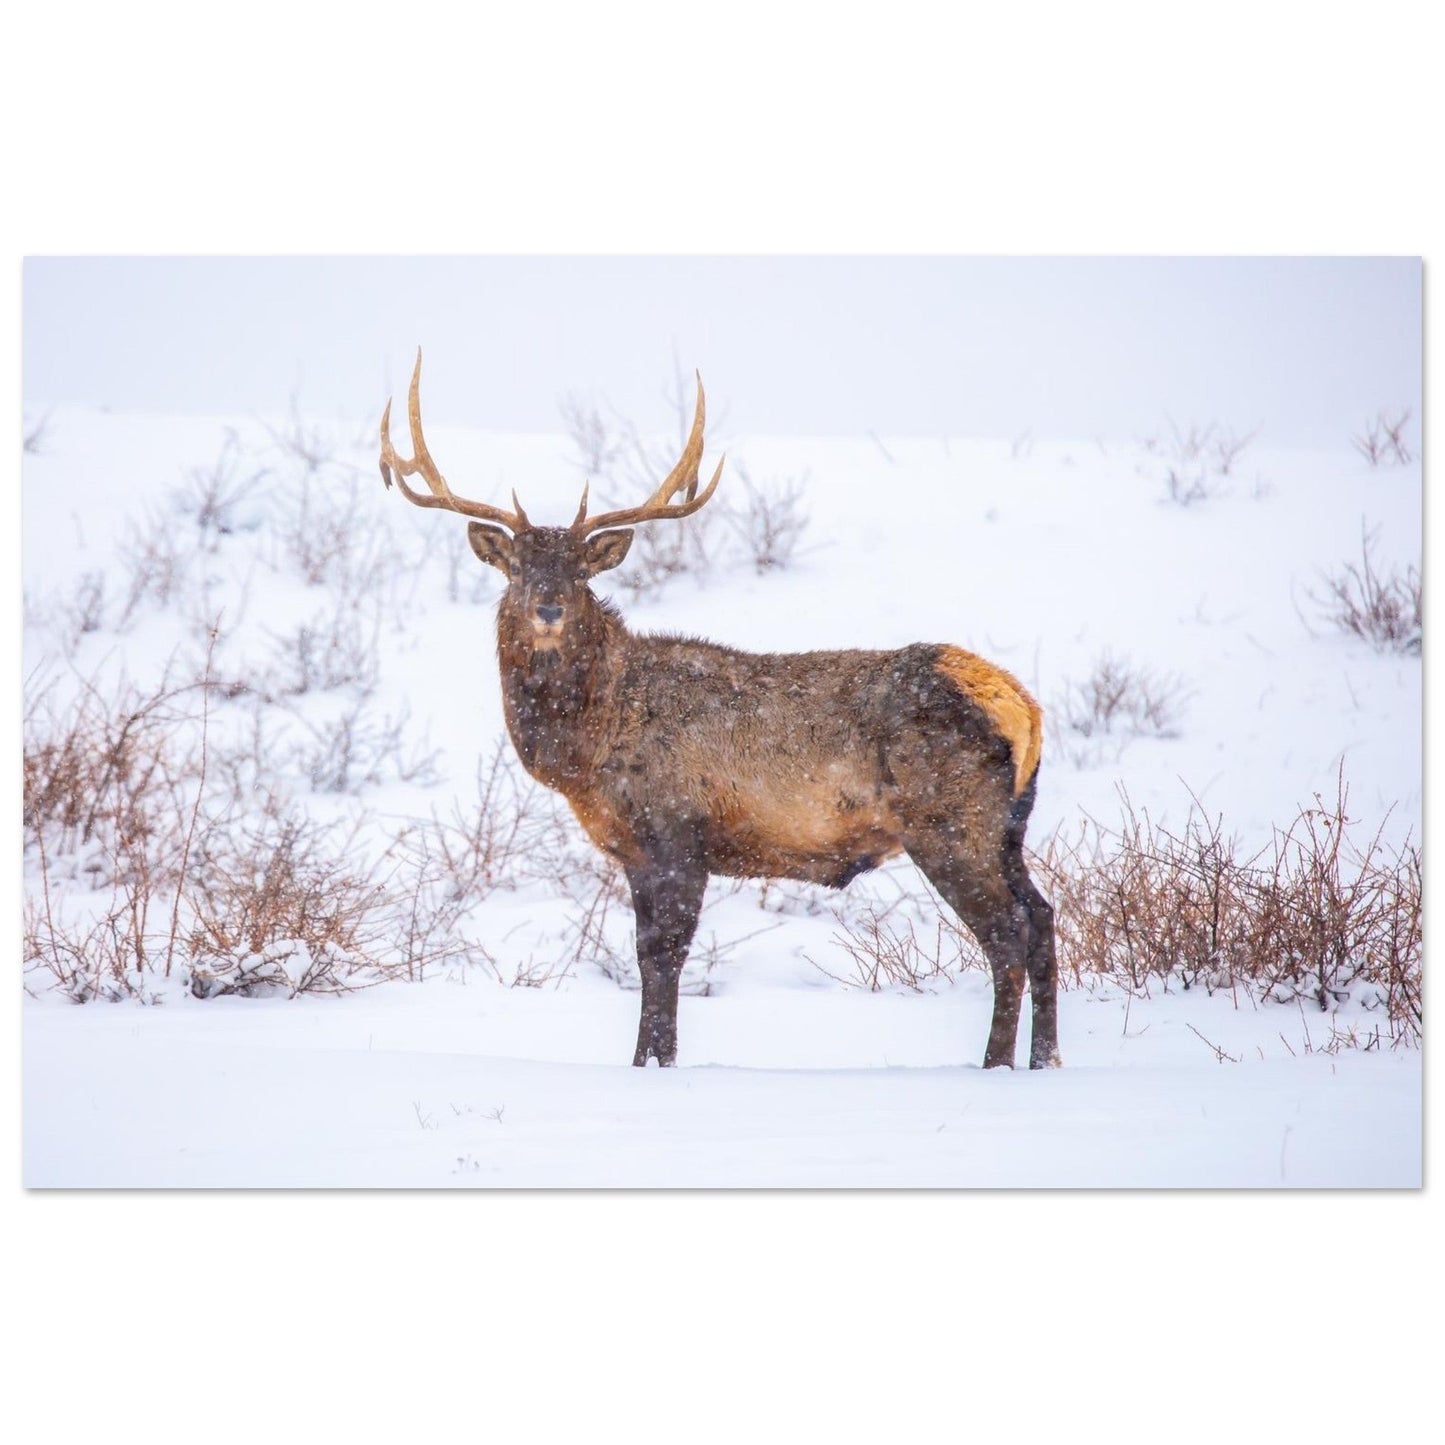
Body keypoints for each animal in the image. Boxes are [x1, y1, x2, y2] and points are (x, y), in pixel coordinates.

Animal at [379, 352, 1060, 1070]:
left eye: (579, 571)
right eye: (515, 566)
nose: (548, 606)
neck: (588, 748)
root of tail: (1022, 706)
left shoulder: (678, 828)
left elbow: (663, 956)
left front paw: (652, 1061)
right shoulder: (636, 849)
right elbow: (650, 955)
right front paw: (651, 1060)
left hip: (948, 820)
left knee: (1006, 933)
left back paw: (994, 1065)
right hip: (1007, 828)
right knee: (1043, 918)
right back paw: (1045, 1060)